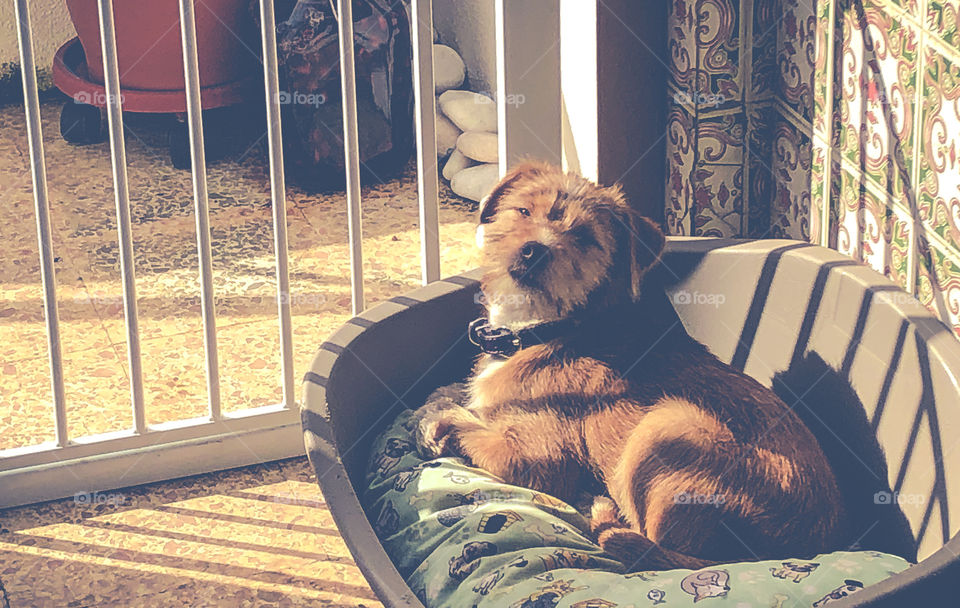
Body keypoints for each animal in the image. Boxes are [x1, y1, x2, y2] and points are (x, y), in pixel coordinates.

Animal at [416, 162, 844, 568]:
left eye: (585, 238)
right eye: (522, 210)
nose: (534, 251)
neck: (547, 328)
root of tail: (798, 548)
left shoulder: (537, 460)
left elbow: (465, 423)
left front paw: (438, 424)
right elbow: (463, 399)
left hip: (666, 426)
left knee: (646, 542)